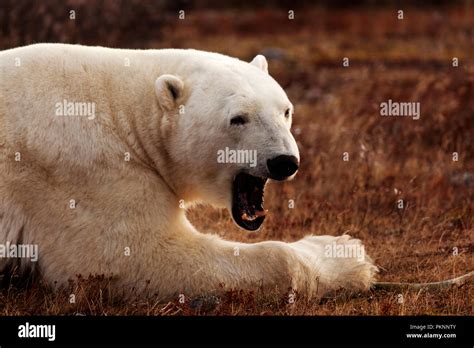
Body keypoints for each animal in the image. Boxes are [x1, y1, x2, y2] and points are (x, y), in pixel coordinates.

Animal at [0, 43, 378, 300]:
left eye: (285, 110)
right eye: (238, 118)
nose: (284, 161)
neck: (126, 110)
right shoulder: (83, 171)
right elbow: (134, 257)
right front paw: (348, 254)